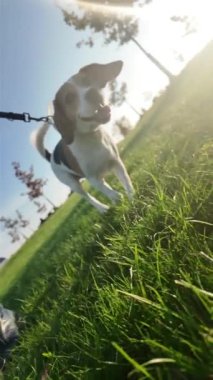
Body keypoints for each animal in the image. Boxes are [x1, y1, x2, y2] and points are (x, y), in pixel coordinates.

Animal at [31, 60, 133, 212]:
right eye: (69, 98)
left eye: (88, 81)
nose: (93, 93)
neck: (92, 135)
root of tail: (51, 156)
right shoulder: (92, 178)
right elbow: (110, 192)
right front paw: (118, 199)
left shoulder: (116, 163)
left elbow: (127, 183)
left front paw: (134, 199)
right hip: (73, 184)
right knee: (87, 197)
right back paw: (102, 208)